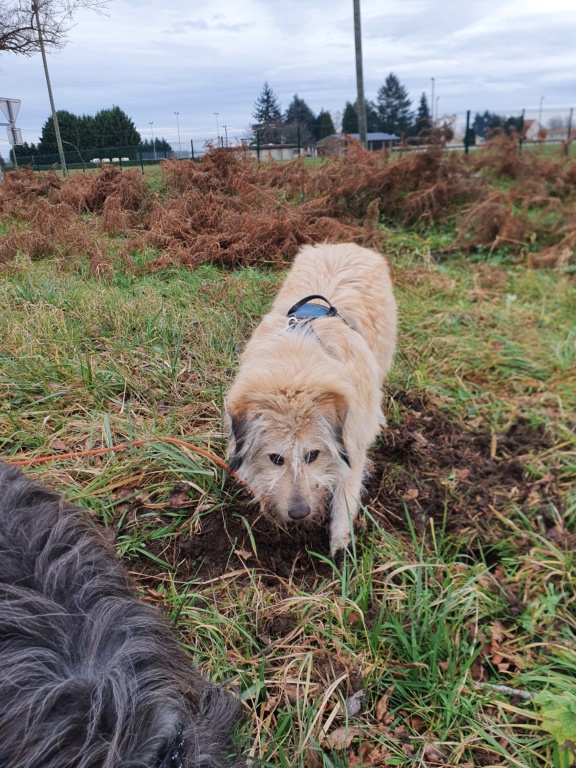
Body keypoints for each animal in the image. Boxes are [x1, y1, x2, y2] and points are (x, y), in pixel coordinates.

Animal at [225, 243, 396, 556]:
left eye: (313, 455)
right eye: (276, 458)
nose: (299, 513)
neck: (297, 360)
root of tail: (347, 245)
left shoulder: (351, 442)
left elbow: (346, 494)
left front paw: (340, 548)